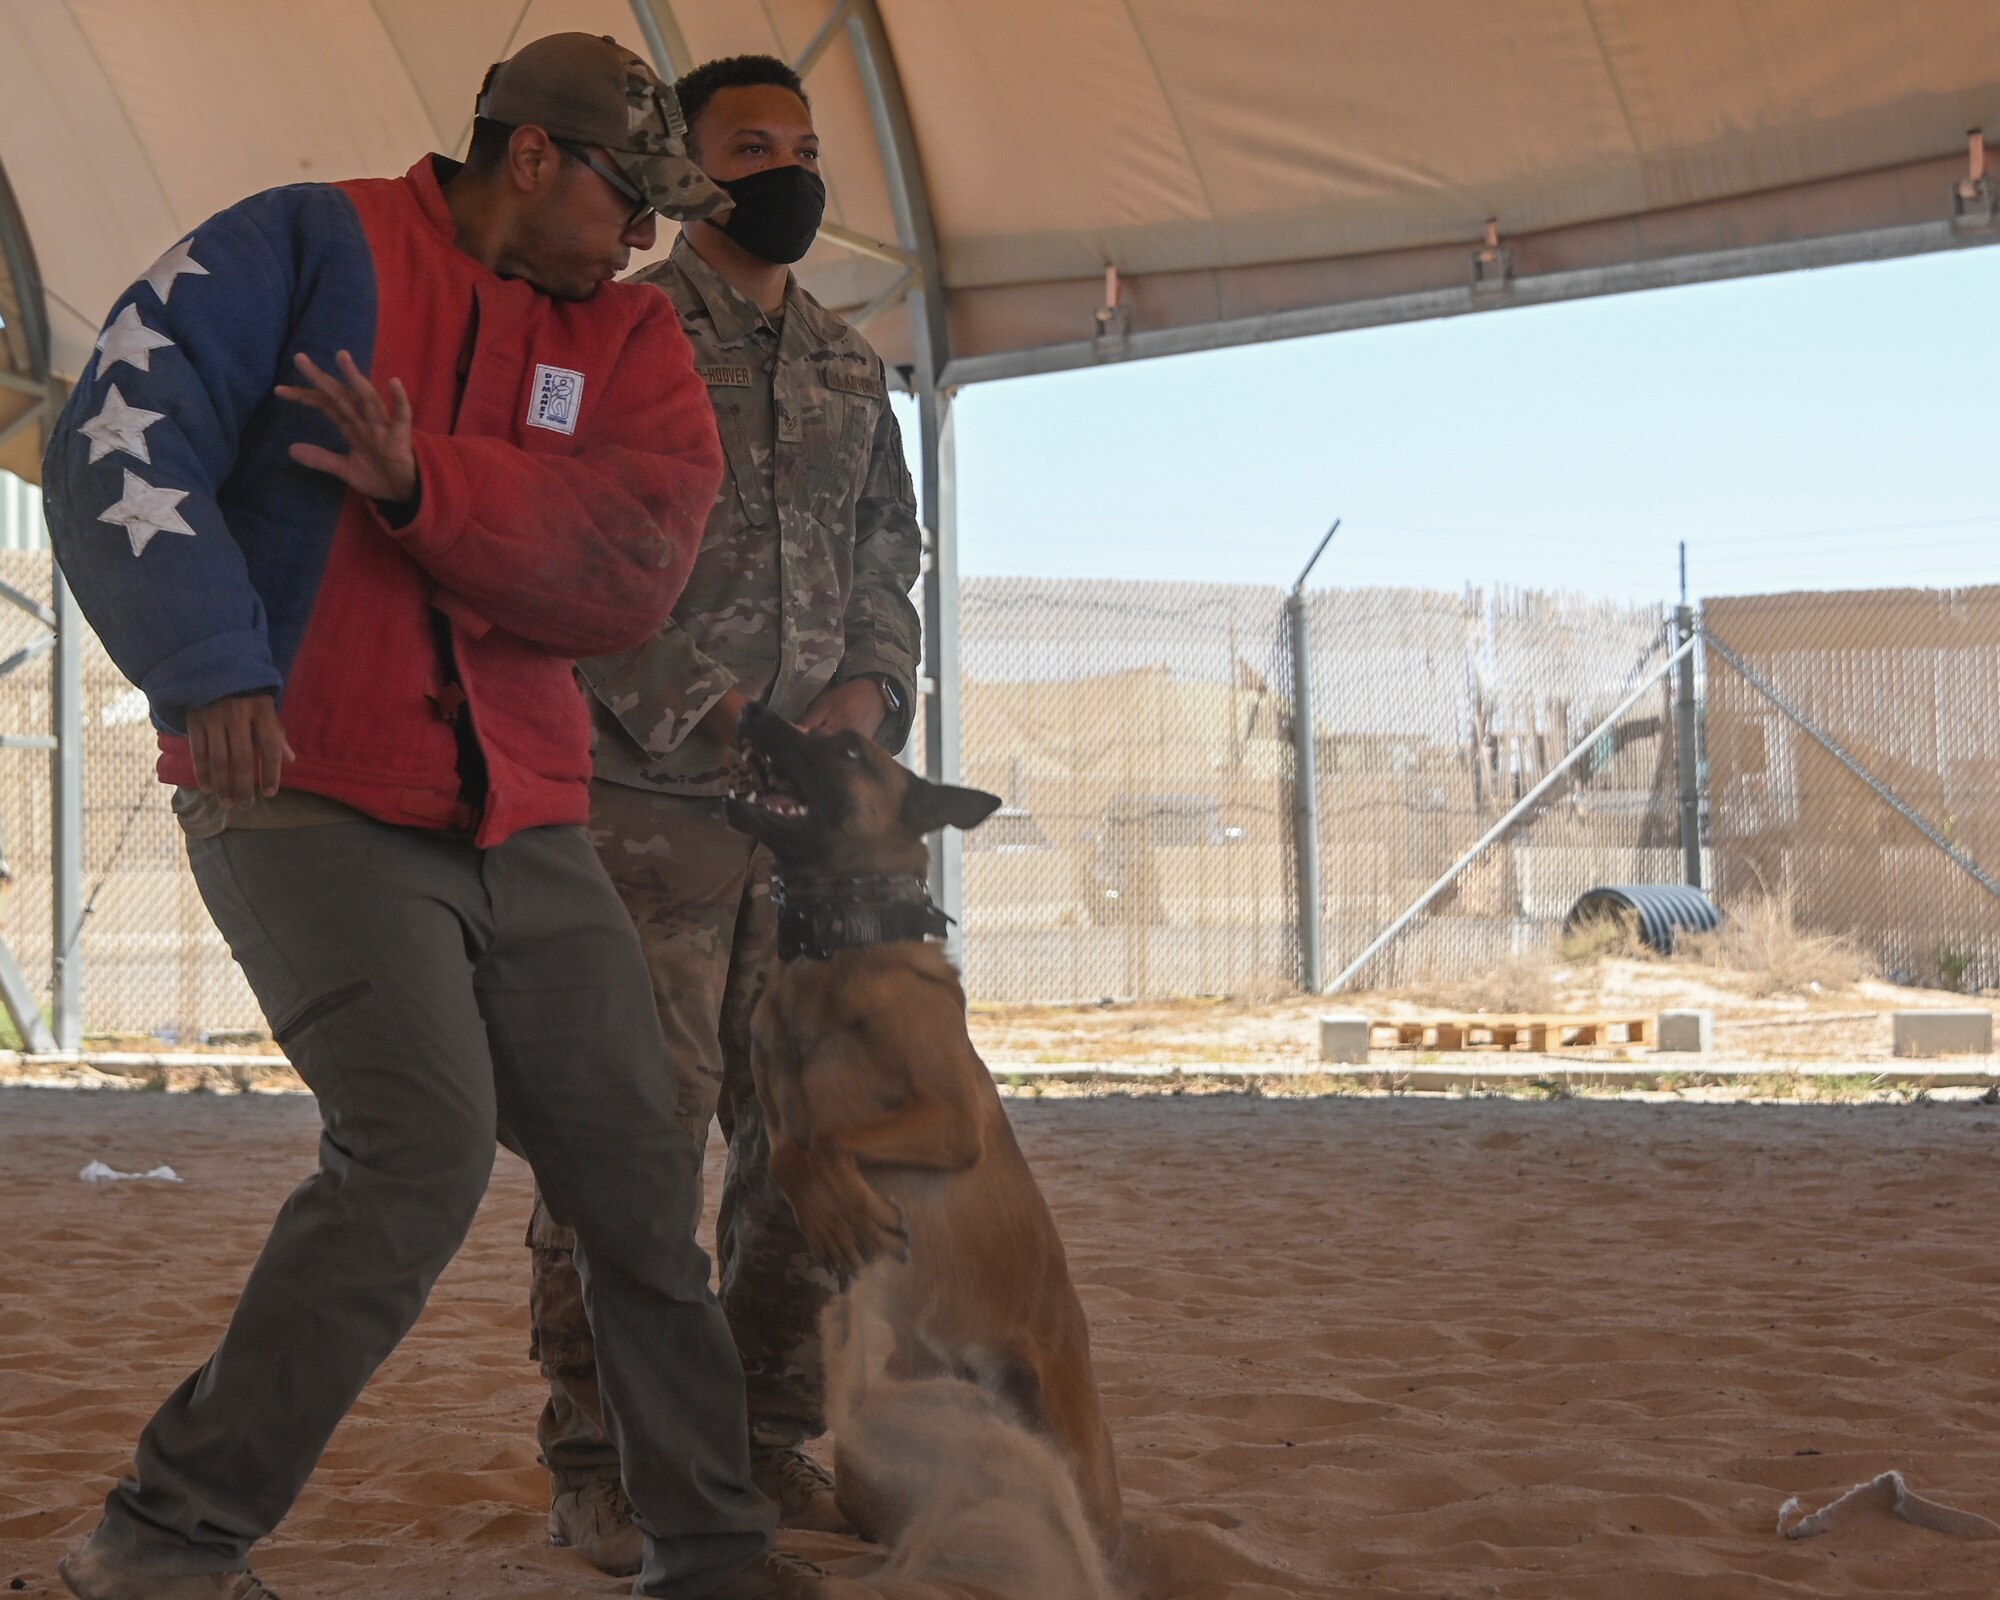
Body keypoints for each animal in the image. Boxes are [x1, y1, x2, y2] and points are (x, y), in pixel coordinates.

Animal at [728, 700, 1128, 1552]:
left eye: (848, 748)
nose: (752, 708)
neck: (834, 953)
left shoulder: (952, 1118)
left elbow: (828, 1140)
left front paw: (845, 1211)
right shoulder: (773, 1113)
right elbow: (793, 1153)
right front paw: (836, 1211)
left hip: (1067, 1452)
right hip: (871, 1456)